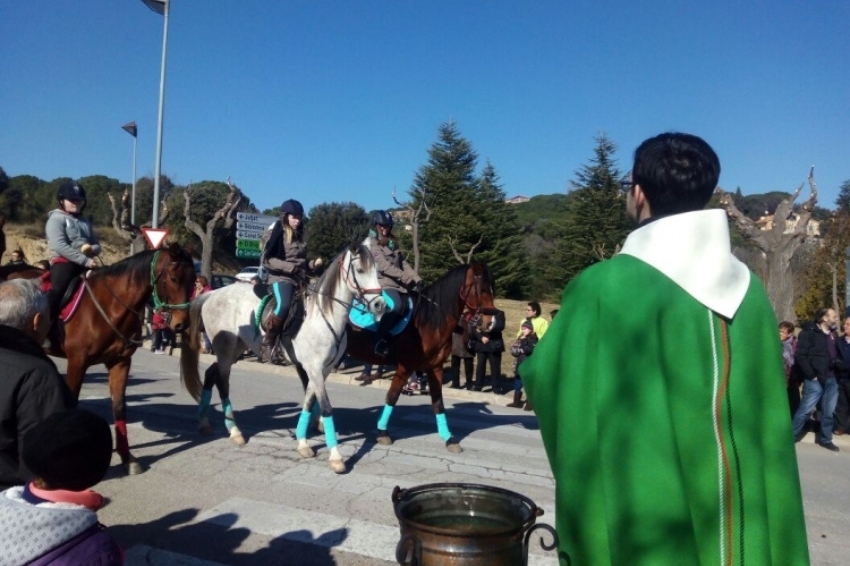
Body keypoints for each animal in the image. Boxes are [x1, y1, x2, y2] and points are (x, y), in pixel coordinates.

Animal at [44, 244, 195, 474]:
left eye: (194, 280)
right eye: (174, 278)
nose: (181, 324)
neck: (110, 306)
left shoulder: (120, 362)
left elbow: (119, 407)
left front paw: (127, 457)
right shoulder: (77, 361)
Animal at [182, 241, 388, 474]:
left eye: (376, 271)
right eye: (360, 270)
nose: (380, 305)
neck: (324, 315)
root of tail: (212, 294)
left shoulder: (321, 369)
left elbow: (309, 402)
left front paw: (302, 442)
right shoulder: (314, 368)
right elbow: (325, 407)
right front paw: (335, 457)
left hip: (235, 349)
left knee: (210, 374)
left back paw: (204, 422)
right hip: (225, 350)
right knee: (222, 384)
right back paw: (235, 432)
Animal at [344, 264, 494, 454]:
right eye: (482, 289)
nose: (490, 323)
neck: (429, 321)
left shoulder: (434, 367)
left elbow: (438, 403)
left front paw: (449, 438)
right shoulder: (405, 366)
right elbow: (392, 396)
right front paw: (383, 432)